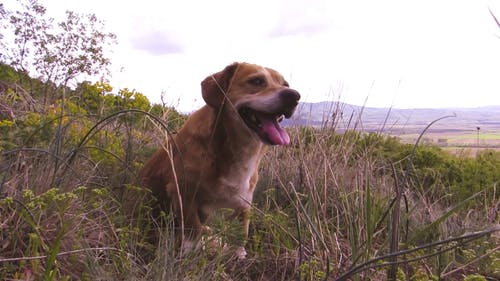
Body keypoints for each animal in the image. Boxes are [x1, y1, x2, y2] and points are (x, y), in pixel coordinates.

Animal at [139, 62, 298, 258]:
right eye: (257, 81)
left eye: (286, 85)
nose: (294, 96)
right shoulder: (182, 192)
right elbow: (192, 230)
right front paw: (190, 253)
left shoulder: (245, 202)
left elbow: (242, 231)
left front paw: (238, 254)